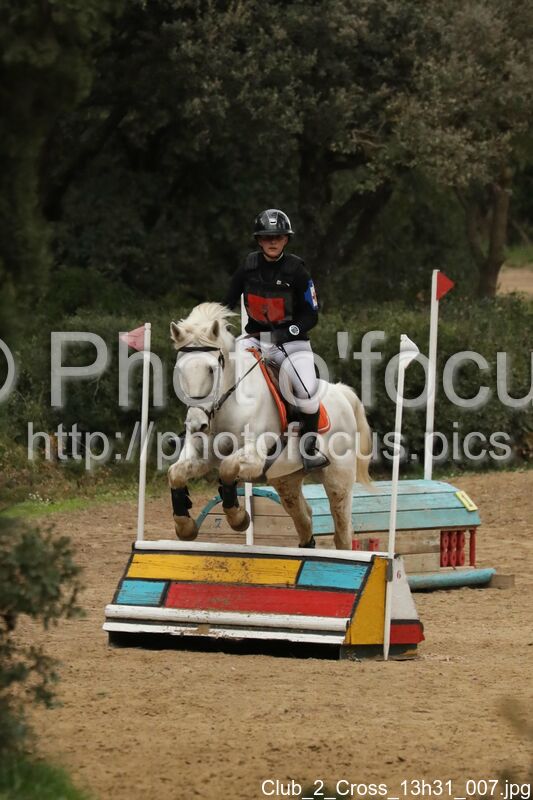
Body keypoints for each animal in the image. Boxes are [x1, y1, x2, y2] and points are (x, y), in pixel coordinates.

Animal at [168, 302, 372, 550]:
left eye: (211, 369)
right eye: (180, 370)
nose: (198, 424)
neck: (227, 403)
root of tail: (342, 393)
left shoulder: (254, 455)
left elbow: (227, 467)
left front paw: (238, 517)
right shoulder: (202, 455)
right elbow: (175, 473)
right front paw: (185, 526)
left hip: (338, 479)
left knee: (342, 530)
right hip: (286, 480)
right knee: (304, 518)